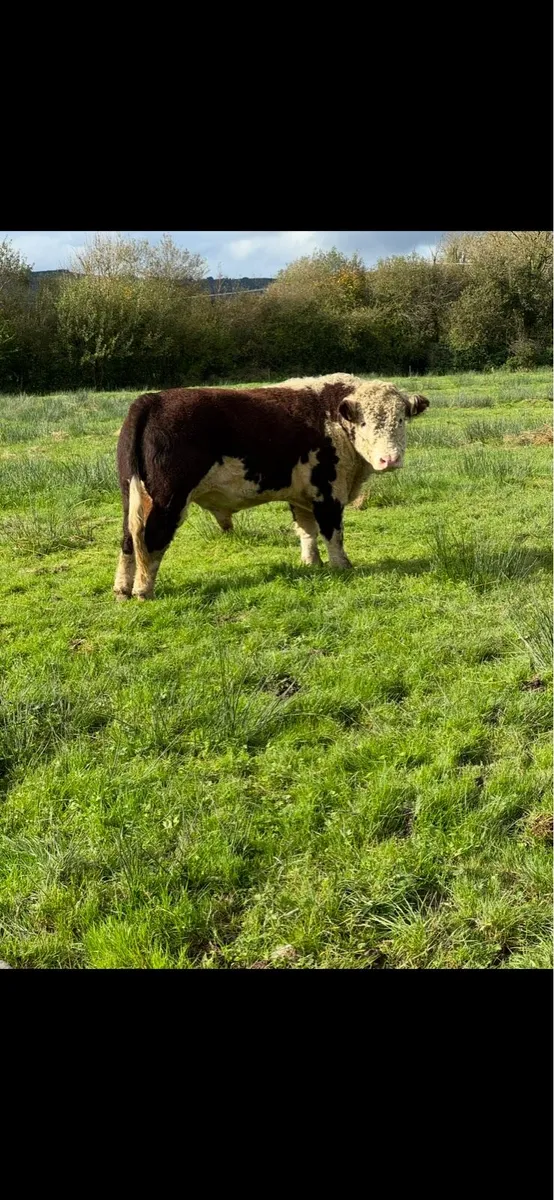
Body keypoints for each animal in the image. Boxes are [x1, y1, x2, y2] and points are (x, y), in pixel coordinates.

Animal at [113, 374, 429, 600]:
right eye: (363, 423)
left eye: (401, 419)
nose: (389, 459)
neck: (332, 417)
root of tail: (152, 400)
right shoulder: (328, 492)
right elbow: (333, 533)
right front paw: (343, 567)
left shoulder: (303, 495)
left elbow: (306, 530)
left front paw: (311, 563)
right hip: (168, 500)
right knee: (151, 538)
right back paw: (143, 590)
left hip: (132, 495)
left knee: (128, 539)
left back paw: (122, 589)